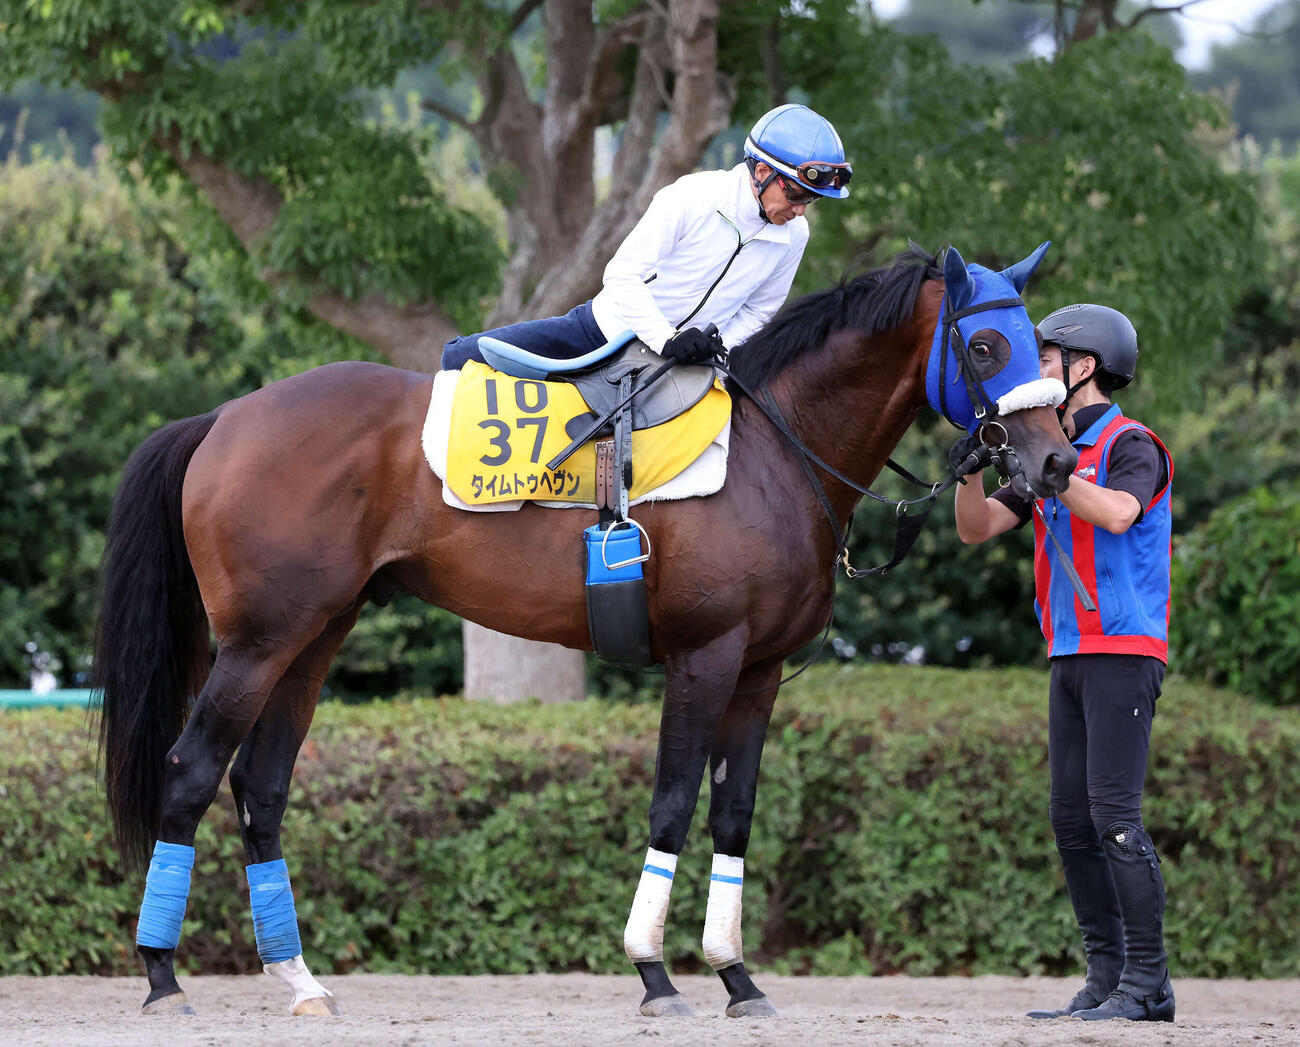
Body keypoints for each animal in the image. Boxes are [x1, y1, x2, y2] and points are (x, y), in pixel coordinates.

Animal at [94, 242, 1077, 1018]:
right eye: (986, 343)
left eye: (1042, 345)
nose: (1057, 461)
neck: (776, 450)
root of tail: (226, 415)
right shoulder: (704, 659)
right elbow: (674, 801)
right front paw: (655, 971)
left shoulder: (758, 671)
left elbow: (734, 813)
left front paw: (737, 975)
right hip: (258, 644)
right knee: (190, 770)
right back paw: (161, 973)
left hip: (313, 638)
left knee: (260, 789)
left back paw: (296, 977)